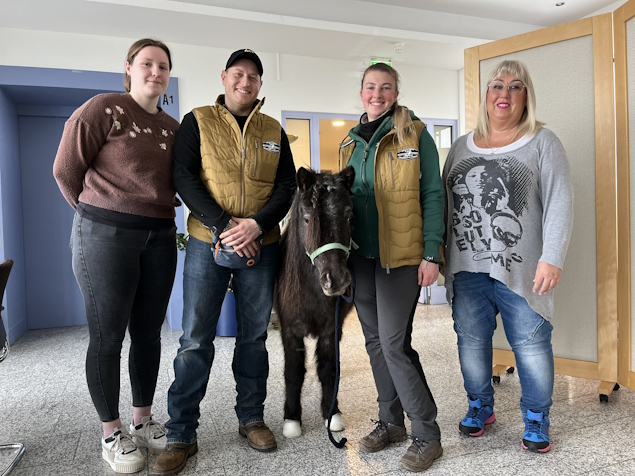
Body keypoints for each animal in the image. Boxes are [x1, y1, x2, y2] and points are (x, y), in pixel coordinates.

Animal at [276, 165, 358, 438]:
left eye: (349, 216)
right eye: (307, 219)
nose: (337, 281)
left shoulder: (331, 330)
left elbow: (328, 370)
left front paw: (332, 414)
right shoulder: (290, 331)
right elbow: (293, 372)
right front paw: (291, 419)